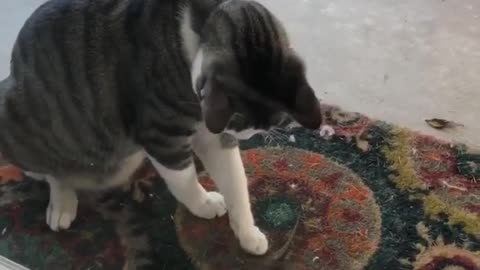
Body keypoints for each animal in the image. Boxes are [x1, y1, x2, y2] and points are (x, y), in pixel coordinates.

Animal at [0, 0, 322, 256]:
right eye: (238, 122)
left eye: (265, 125)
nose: (243, 135)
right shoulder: (162, 136)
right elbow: (184, 181)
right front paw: (204, 204)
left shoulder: (213, 137)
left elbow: (236, 182)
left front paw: (248, 233)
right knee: (53, 173)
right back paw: (62, 201)